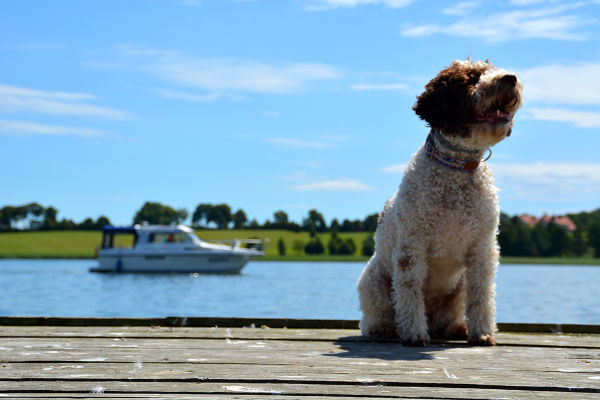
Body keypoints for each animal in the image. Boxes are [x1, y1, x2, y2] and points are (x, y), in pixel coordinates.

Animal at [358, 59, 524, 346]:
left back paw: (457, 328)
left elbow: (482, 295)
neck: (456, 169)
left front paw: (483, 333)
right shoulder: (412, 246)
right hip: (372, 279)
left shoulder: (483, 247)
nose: (510, 78)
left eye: (493, 69)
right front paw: (414, 334)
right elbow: (409, 292)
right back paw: (384, 328)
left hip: (458, 286)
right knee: (374, 315)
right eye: (472, 78)